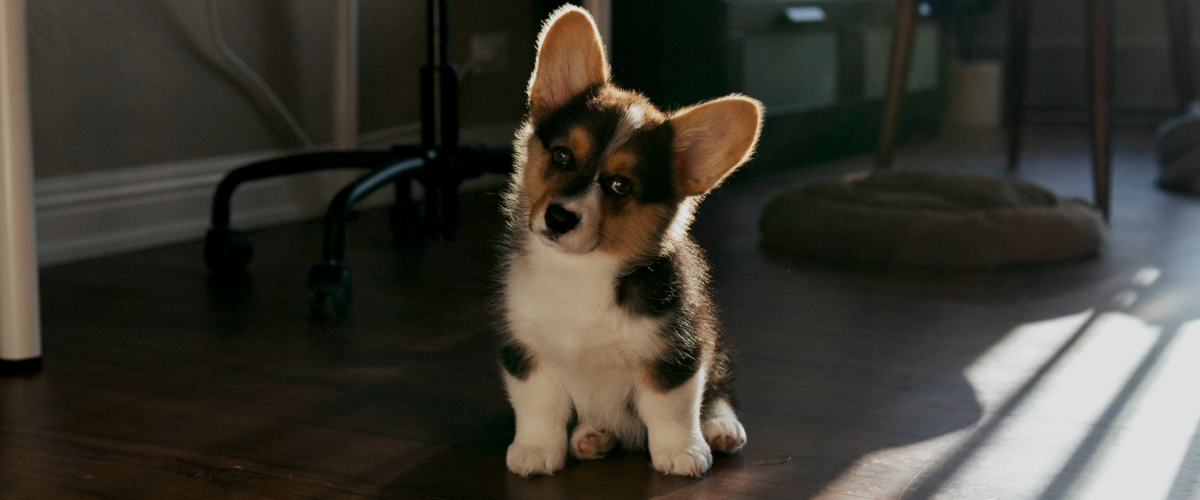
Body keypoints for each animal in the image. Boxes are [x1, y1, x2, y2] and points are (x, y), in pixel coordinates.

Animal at [499, 6, 763, 474]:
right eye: (562, 155)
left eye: (620, 185)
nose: (559, 217)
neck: (580, 271)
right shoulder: (527, 350)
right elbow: (538, 406)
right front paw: (534, 451)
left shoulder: (677, 350)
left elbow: (671, 408)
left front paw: (683, 452)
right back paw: (592, 436)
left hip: (716, 342)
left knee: (718, 390)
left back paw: (719, 428)